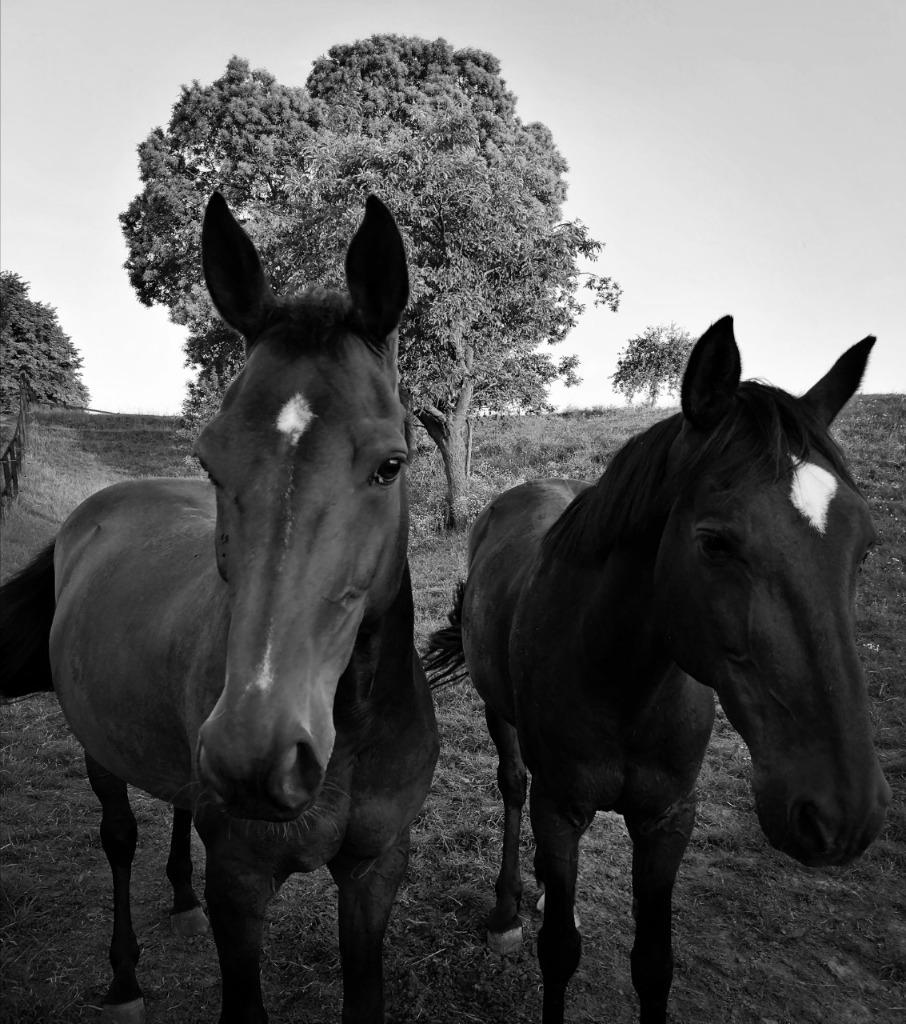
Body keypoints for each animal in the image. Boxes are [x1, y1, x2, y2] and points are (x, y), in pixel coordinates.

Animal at [0, 192, 439, 1024]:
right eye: (209, 461)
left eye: (391, 464)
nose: (254, 757)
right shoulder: (240, 885)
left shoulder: (378, 870)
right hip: (101, 748)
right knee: (119, 837)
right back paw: (125, 974)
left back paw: (177, 890)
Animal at [426, 316, 890, 1024]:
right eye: (714, 542)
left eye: (863, 545)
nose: (844, 814)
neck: (624, 682)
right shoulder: (560, 809)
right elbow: (558, 953)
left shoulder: (668, 820)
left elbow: (654, 964)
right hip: (498, 716)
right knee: (513, 786)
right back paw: (508, 911)